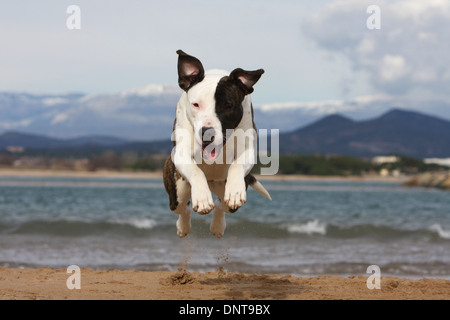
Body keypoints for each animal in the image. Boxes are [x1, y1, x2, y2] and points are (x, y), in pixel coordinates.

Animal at [164, 50, 270, 239]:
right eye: (196, 104)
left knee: (222, 205)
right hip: (178, 192)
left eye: (228, 106)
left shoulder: (247, 150)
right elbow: (196, 171)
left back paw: (217, 226)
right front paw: (202, 197)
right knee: (184, 208)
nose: (207, 132)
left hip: (227, 193)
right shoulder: (181, 153)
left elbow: (237, 164)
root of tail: (211, 181)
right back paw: (183, 227)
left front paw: (234, 191)